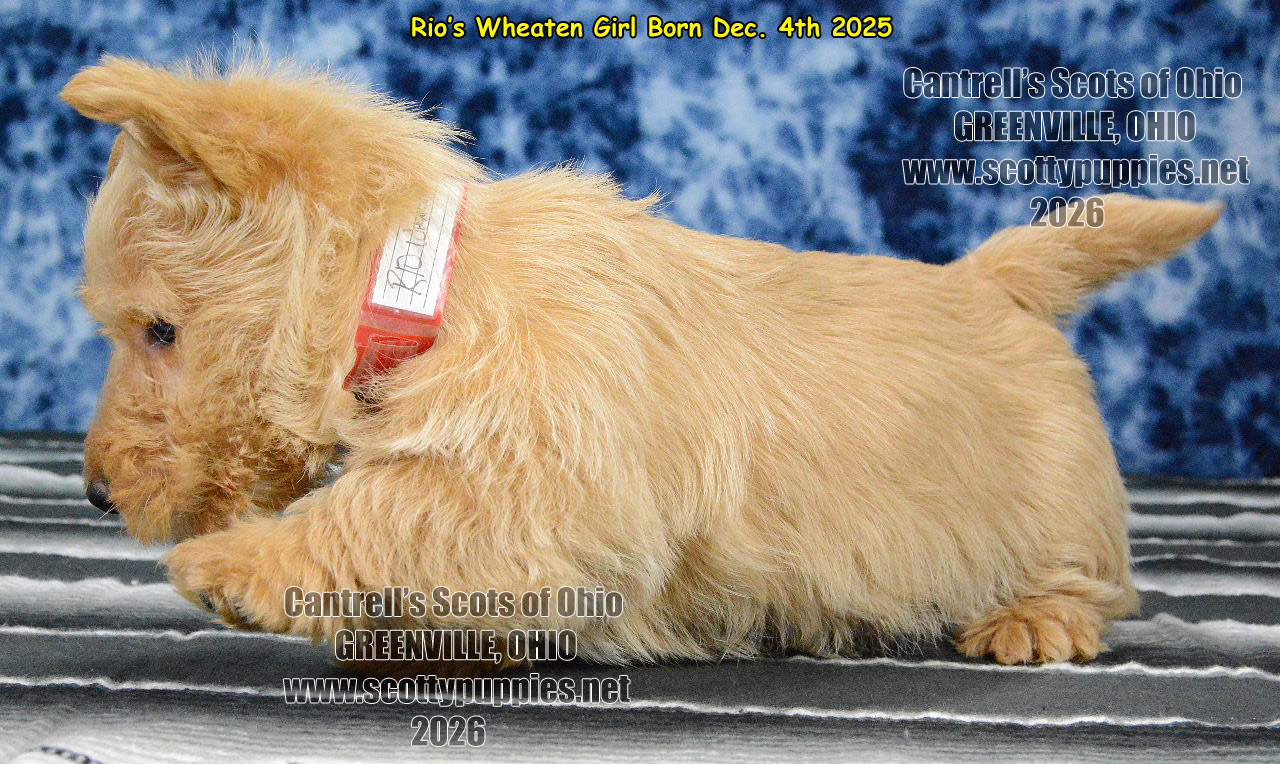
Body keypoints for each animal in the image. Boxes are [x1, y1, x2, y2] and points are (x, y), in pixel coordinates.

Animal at [60, 57, 1219, 668]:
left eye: (158, 331)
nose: (95, 489)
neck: (432, 290)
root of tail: (991, 279)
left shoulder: (537, 483)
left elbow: (380, 513)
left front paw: (237, 566)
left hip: (1057, 510)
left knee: (1094, 580)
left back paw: (1030, 620)